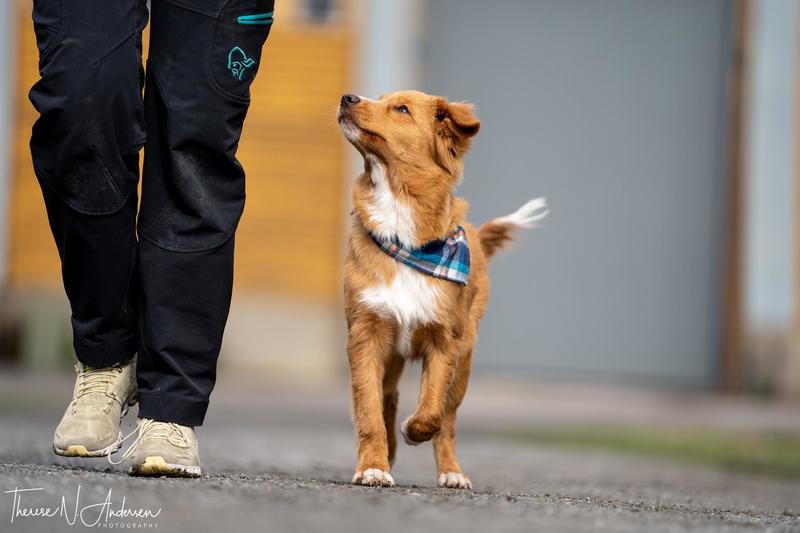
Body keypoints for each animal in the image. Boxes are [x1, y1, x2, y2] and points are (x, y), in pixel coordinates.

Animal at [334, 90, 548, 486]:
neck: (403, 232)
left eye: (401, 109)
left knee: (447, 419)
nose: (347, 97)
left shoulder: (446, 340)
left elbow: (433, 410)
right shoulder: (365, 334)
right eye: (381, 98)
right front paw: (373, 465)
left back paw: (451, 471)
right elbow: (369, 409)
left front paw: (413, 431)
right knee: (387, 396)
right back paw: (389, 452)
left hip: (465, 358)